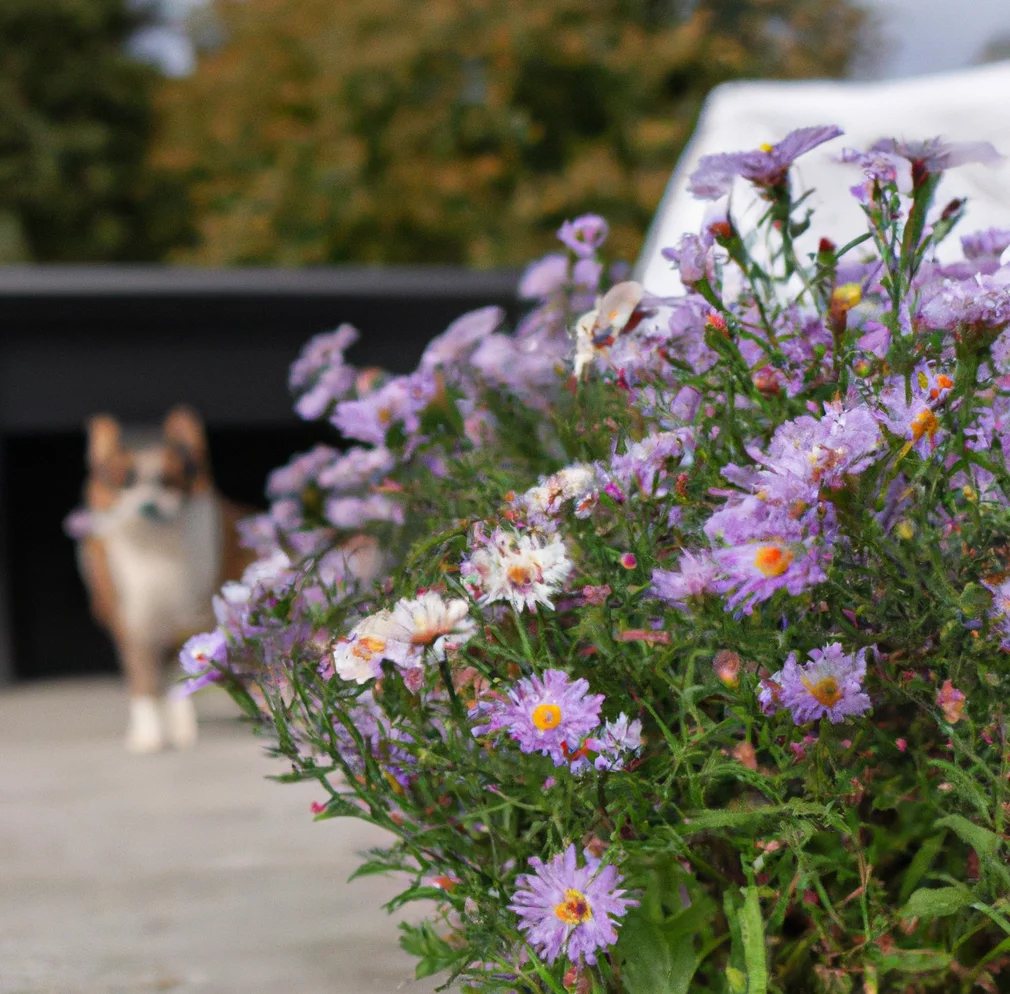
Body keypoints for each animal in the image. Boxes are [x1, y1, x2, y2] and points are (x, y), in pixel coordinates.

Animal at [71, 408, 252, 747]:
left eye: (170, 482)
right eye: (124, 482)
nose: (148, 504)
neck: (155, 548)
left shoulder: (187, 622)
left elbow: (182, 675)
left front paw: (180, 726)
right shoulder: (132, 622)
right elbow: (142, 679)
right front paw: (148, 735)